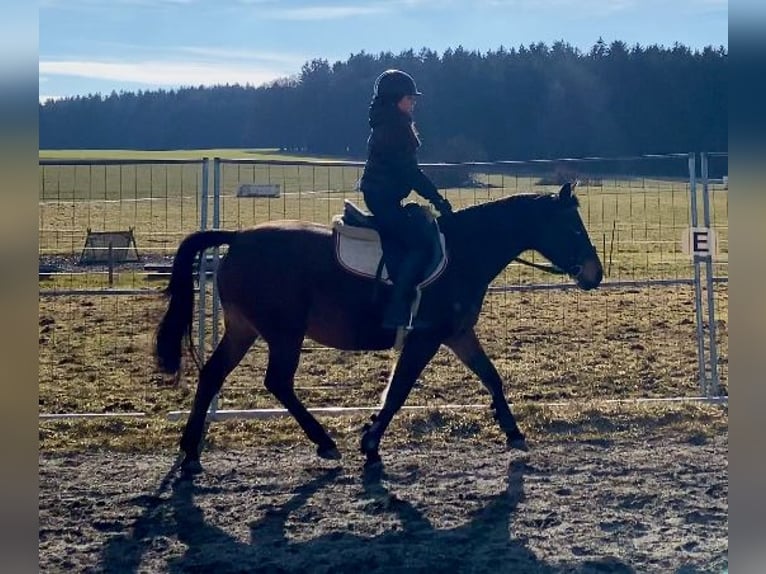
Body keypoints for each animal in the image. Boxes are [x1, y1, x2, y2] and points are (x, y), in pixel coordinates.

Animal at [156, 182, 604, 474]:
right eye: (572, 227)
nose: (594, 274)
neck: (464, 252)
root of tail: (238, 238)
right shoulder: (426, 337)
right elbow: (399, 390)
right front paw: (370, 443)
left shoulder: (457, 334)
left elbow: (491, 377)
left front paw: (513, 432)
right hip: (284, 332)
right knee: (278, 382)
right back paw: (324, 444)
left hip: (244, 328)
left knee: (213, 375)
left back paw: (191, 452)